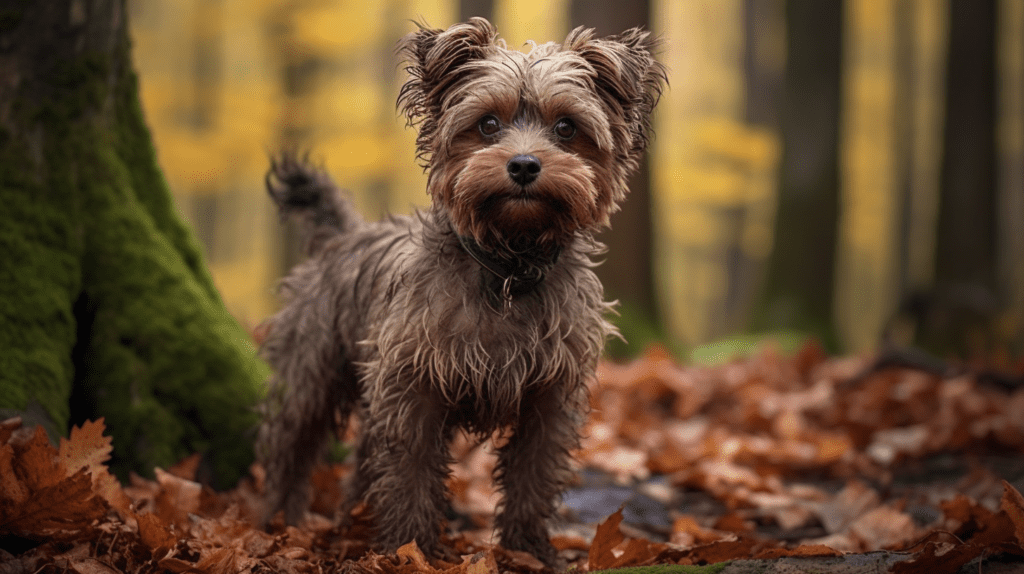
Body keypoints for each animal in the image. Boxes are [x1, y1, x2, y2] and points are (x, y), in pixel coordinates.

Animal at [258, 16, 663, 564]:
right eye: (488, 124)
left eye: (566, 127)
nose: (524, 165)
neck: (509, 267)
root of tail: (342, 235)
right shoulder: (416, 388)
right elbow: (410, 474)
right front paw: (409, 547)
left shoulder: (549, 398)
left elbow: (533, 479)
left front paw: (527, 550)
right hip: (310, 377)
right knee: (292, 451)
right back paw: (280, 521)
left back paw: (353, 520)